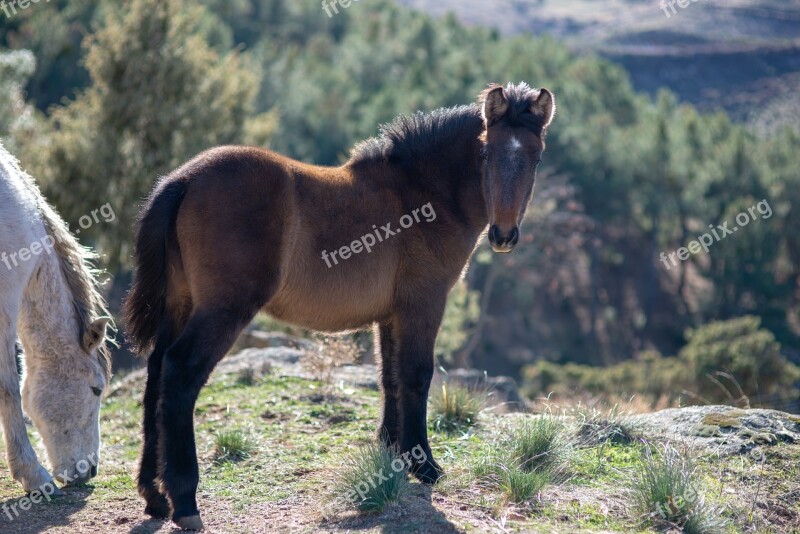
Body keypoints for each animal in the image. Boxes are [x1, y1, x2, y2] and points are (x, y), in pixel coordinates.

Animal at [123, 81, 556, 528]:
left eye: (536, 157)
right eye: (486, 153)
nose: (503, 234)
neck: (423, 191)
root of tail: (184, 179)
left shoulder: (390, 315)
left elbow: (390, 378)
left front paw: (393, 455)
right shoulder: (424, 304)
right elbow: (417, 376)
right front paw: (425, 465)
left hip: (180, 304)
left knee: (155, 372)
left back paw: (154, 496)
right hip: (223, 310)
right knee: (179, 373)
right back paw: (185, 501)